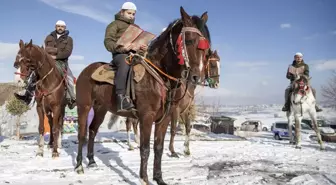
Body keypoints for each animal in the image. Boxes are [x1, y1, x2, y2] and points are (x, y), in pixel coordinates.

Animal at [75, 6, 211, 185]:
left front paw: (159, 178)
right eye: (188, 41)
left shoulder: (164, 119)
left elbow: (158, 148)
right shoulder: (146, 117)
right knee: (82, 133)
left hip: (101, 109)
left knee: (92, 130)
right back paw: (79, 166)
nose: (197, 77)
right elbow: (145, 148)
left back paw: (91, 161)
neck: (159, 77)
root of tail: (85, 71)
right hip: (84, 107)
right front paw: (144, 179)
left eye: (206, 45)